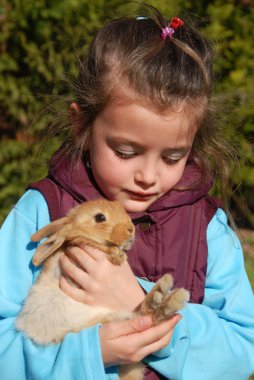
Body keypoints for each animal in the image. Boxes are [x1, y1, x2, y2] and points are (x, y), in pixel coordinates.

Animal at [15, 199, 190, 380]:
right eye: (100, 217)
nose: (131, 229)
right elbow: (85, 240)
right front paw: (117, 255)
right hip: (101, 323)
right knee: (147, 318)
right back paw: (165, 296)